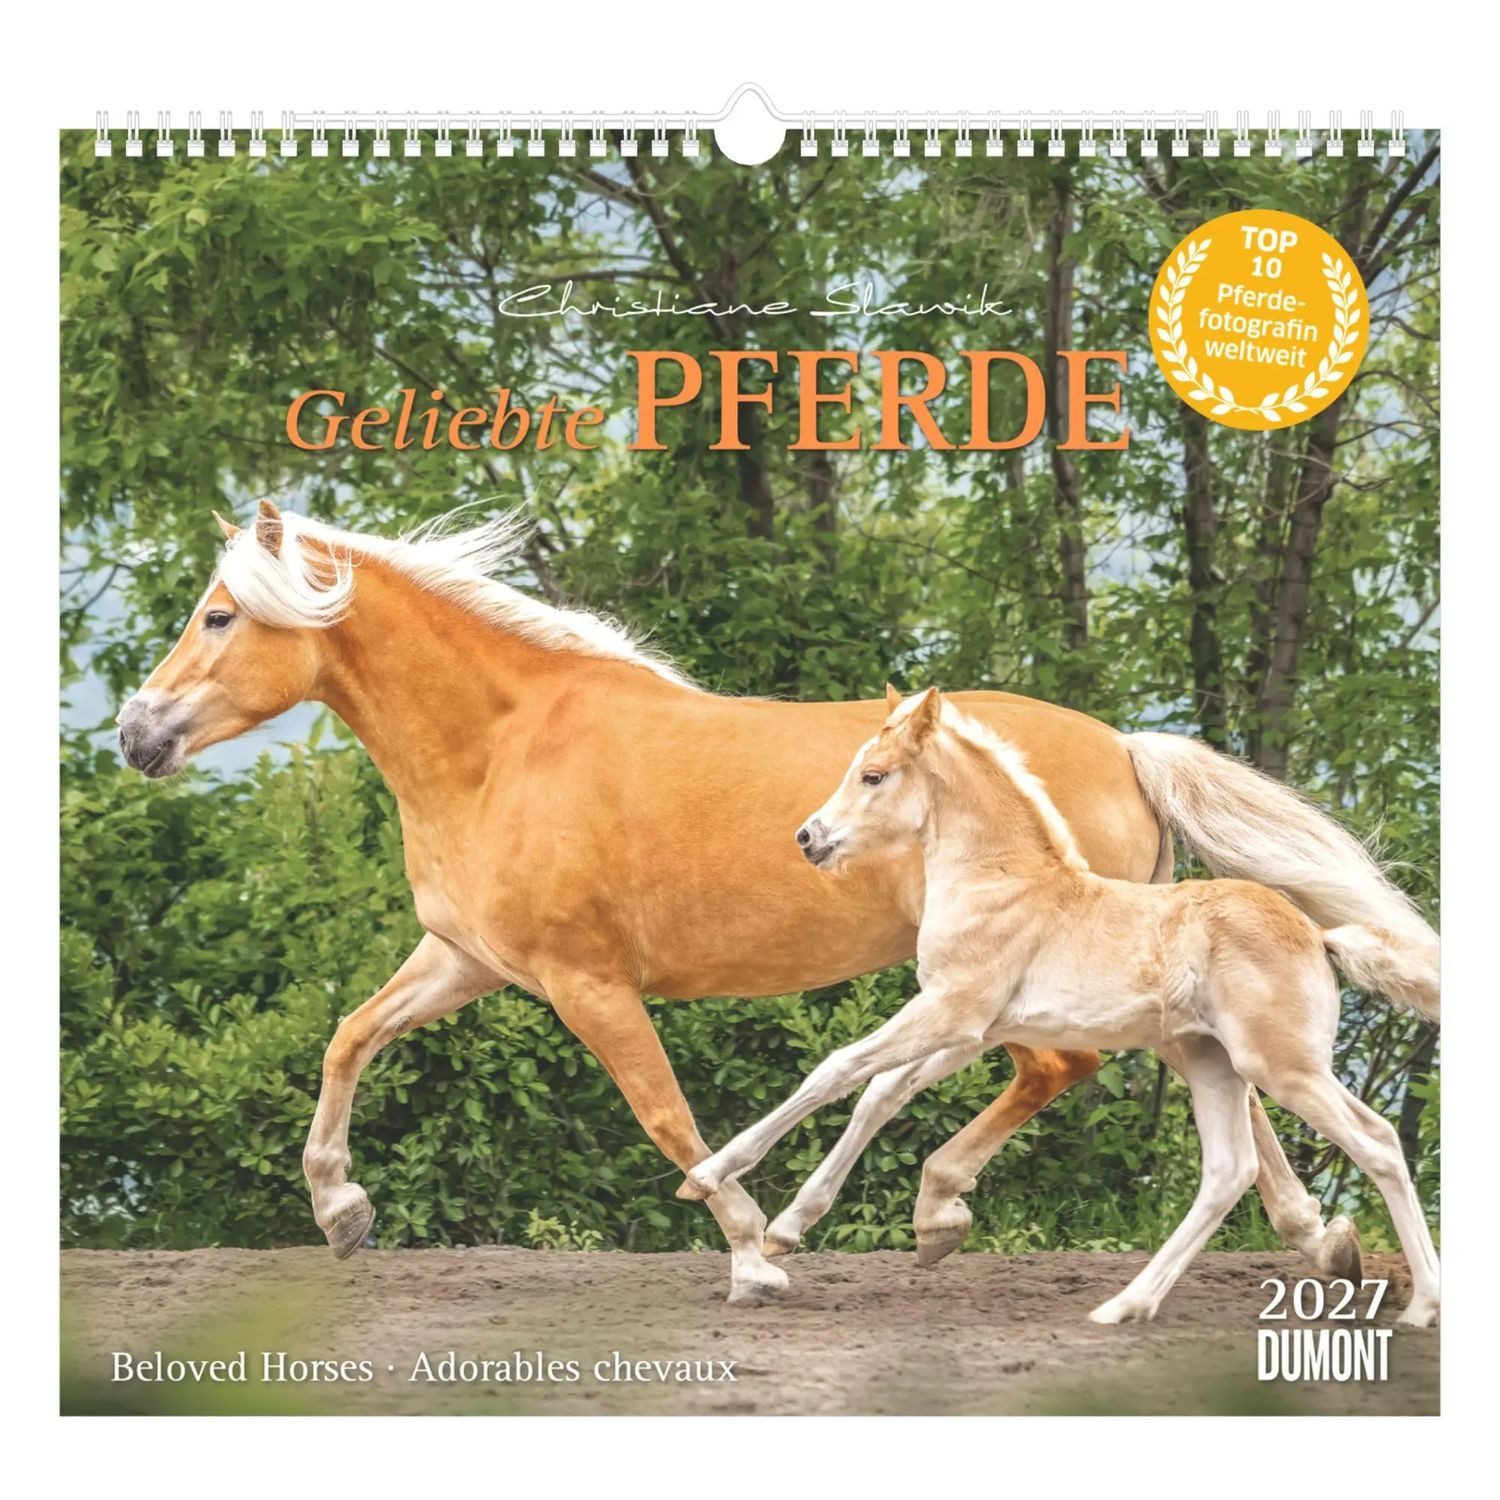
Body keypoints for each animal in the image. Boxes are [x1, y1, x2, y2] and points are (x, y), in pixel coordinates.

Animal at [680, 687, 1440, 1326]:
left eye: (873, 775)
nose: (808, 838)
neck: (1001, 881)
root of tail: (1317, 935)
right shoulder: (972, 1029)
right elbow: (880, 1091)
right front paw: (791, 1227)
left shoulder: (950, 1011)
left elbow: (837, 1069)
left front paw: (710, 1176)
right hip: (1214, 1063)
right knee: (1229, 1172)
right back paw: (1126, 1307)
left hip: (1283, 1067)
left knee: (1375, 1142)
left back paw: (1422, 1306)